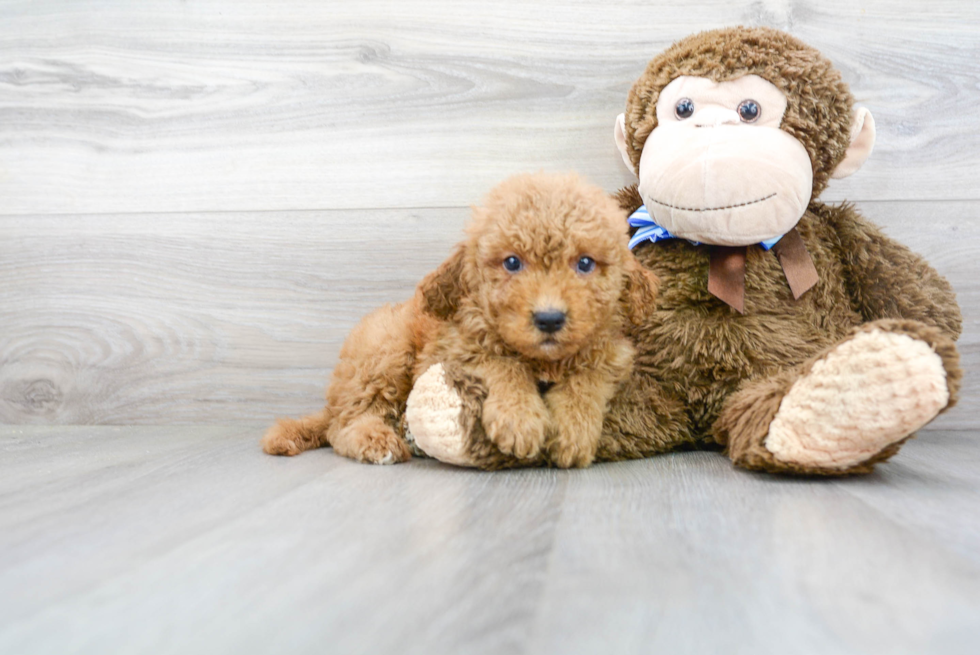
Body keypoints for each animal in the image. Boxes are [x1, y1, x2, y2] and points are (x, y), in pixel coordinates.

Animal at [260, 172, 660, 468]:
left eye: (585, 263)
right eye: (512, 263)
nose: (549, 319)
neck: (542, 360)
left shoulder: (611, 357)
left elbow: (585, 382)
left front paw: (573, 431)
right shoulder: (455, 348)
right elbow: (503, 364)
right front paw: (520, 420)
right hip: (384, 352)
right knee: (343, 424)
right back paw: (378, 441)